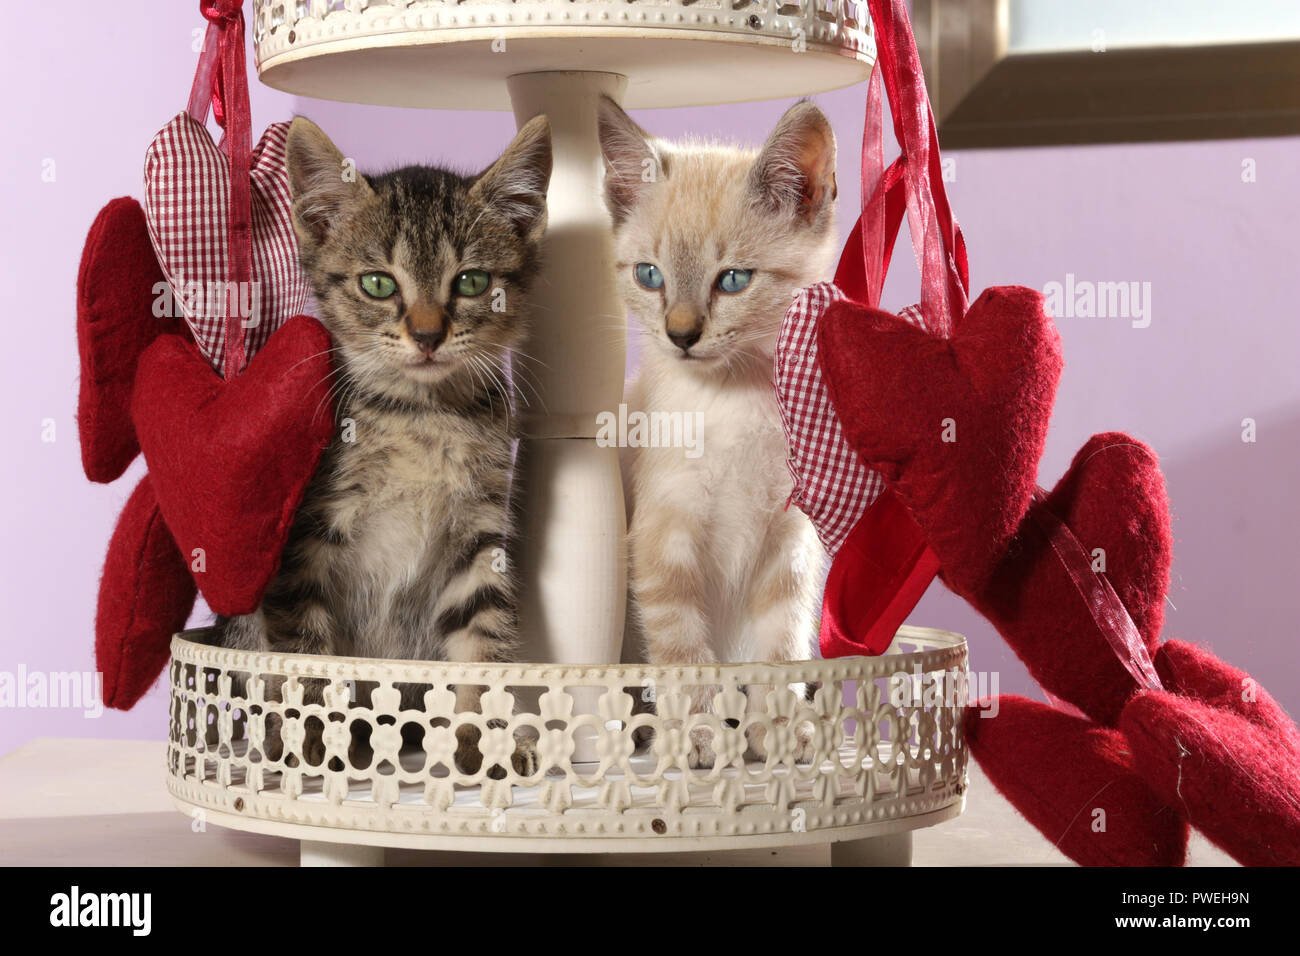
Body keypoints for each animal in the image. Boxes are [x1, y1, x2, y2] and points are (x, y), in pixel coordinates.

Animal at [215, 113, 551, 780]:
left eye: (471, 281)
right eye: (377, 283)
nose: (426, 334)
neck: (419, 416)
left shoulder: (478, 534)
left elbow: (482, 640)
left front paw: (484, 740)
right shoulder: (304, 540)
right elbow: (306, 652)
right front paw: (312, 735)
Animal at [600, 97, 842, 770]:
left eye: (733, 280)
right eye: (650, 275)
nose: (681, 335)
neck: (735, 400)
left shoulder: (790, 545)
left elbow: (780, 651)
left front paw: (780, 730)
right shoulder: (663, 538)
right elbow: (684, 654)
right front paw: (700, 735)